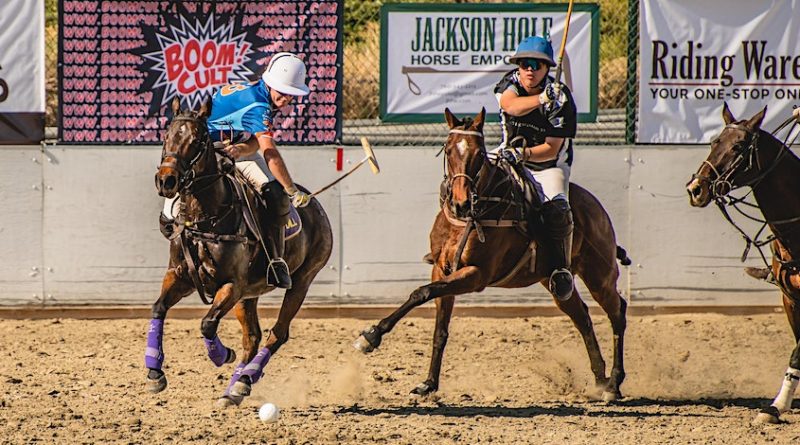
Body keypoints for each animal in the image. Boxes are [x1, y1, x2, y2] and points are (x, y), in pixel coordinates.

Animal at [149, 98, 332, 406]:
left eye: (197, 140)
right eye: (167, 136)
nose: (167, 181)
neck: (206, 217)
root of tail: (317, 204)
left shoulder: (232, 285)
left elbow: (207, 323)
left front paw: (222, 355)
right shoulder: (180, 276)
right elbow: (159, 308)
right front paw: (155, 373)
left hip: (302, 280)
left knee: (277, 334)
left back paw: (244, 380)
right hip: (250, 294)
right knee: (253, 337)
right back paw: (234, 390)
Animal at [354, 107, 628, 398]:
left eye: (479, 154)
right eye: (448, 150)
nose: (461, 203)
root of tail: (597, 207)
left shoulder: (477, 274)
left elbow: (422, 292)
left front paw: (371, 336)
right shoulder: (441, 269)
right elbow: (438, 326)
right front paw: (427, 382)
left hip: (599, 275)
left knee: (617, 312)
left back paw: (613, 383)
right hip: (554, 282)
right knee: (582, 316)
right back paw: (599, 378)